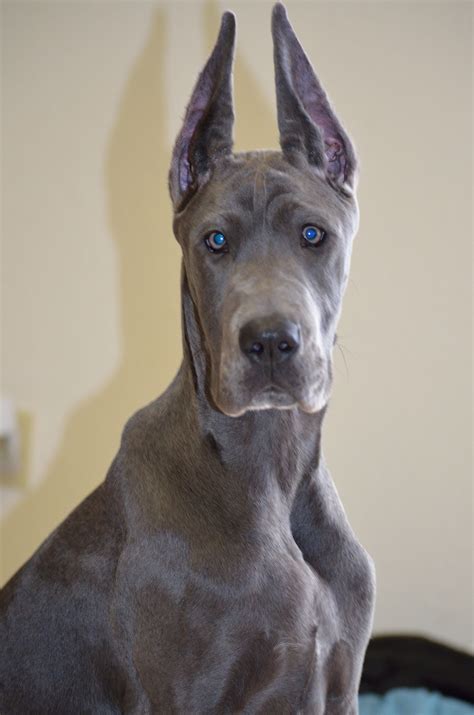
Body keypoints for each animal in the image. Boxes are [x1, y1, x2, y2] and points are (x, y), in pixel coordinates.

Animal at [1, 5, 376, 715]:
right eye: (216, 241)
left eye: (313, 234)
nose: (270, 342)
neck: (268, 468)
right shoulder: (192, 693)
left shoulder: (338, 685)